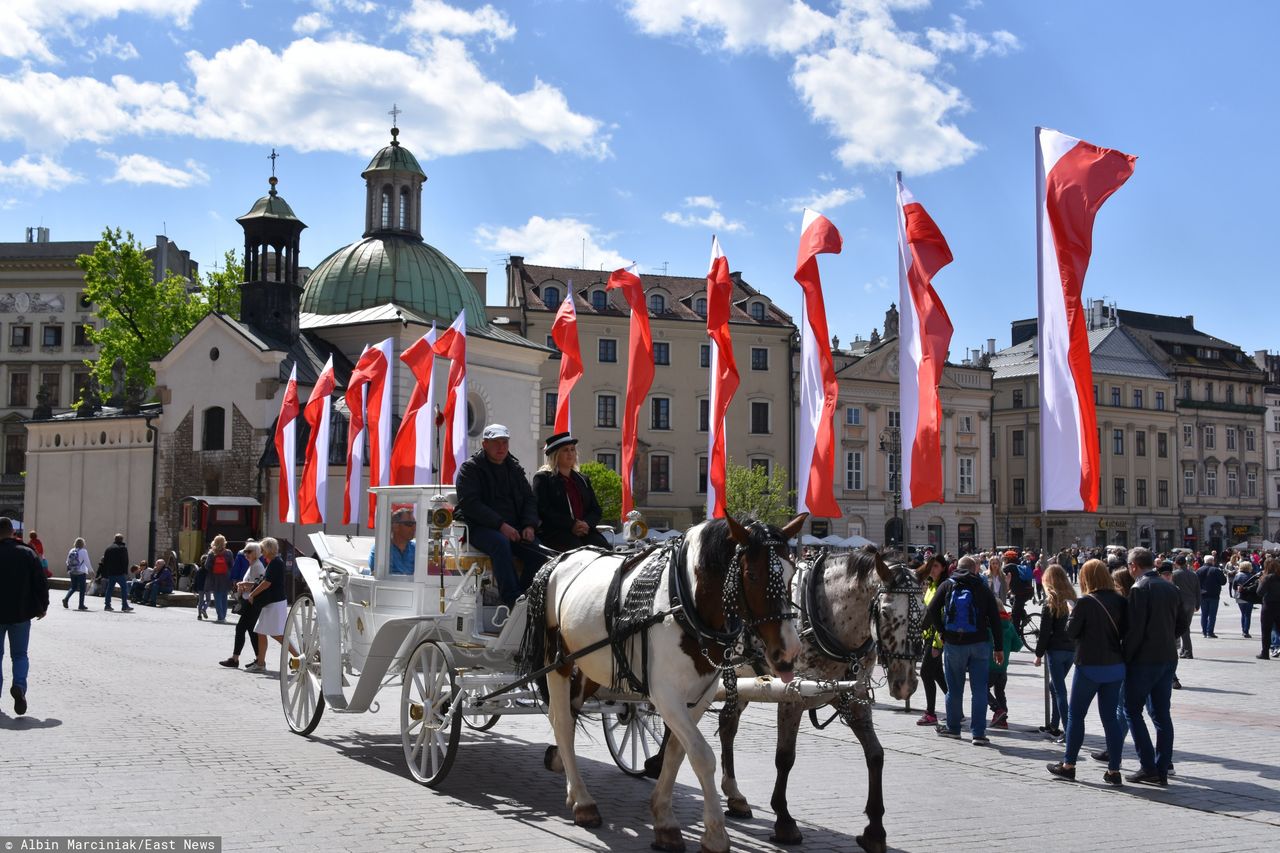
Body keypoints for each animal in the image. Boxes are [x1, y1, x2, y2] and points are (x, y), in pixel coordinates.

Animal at [527, 512, 798, 850]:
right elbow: (702, 755)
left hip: (592, 664)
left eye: (792, 574)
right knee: (563, 721)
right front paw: (715, 833)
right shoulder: (666, 696)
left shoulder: (699, 697)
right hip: (558, 661)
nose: (787, 654)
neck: (684, 602)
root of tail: (557, 560)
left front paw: (664, 818)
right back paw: (582, 800)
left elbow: (676, 752)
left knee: (571, 711)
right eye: (751, 576)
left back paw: (561, 769)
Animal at [721, 545, 921, 850]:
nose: (905, 684)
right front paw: (784, 821)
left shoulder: (853, 695)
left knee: (725, 726)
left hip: (739, 681)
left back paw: (735, 797)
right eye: (885, 611)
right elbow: (785, 757)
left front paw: (875, 830)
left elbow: (875, 754)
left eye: (925, 610)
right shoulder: (791, 697)